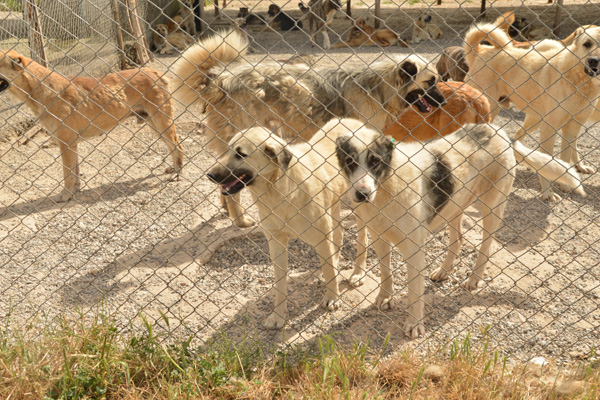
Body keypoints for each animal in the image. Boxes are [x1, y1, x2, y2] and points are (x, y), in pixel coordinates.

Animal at [206, 120, 358, 330]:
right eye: (228, 150)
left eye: (241, 154)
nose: (209, 175)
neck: (277, 190)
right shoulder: (276, 242)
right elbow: (279, 283)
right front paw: (278, 315)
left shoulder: (321, 238)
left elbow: (328, 272)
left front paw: (332, 297)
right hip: (333, 206)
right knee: (339, 234)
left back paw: (358, 273)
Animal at [464, 22, 600, 200]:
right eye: (587, 44)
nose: (594, 61)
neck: (579, 80)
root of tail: (480, 52)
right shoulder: (550, 129)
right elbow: (550, 161)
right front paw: (548, 193)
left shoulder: (572, 129)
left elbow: (565, 159)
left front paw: (565, 184)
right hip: (488, 112)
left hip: (530, 118)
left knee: (517, 136)